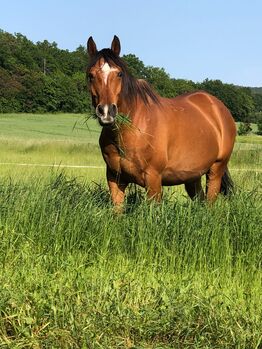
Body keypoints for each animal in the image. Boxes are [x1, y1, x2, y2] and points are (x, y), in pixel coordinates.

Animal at [87, 35, 236, 209]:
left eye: (119, 74)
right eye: (90, 75)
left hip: (216, 170)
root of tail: (219, 108)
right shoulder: (115, 179)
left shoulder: (153, 180)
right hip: (192, 176)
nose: (106, 112)